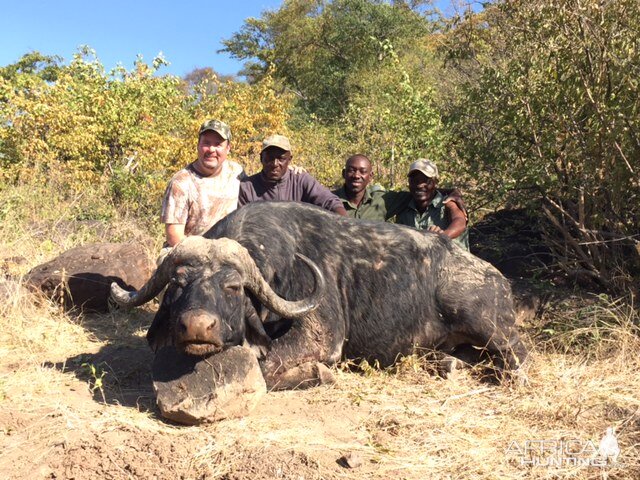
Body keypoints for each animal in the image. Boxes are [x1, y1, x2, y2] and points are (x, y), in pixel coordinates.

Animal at [112, 201, 528, 388]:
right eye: (179, 283)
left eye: (232, 287)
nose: (198, 326)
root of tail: (499, 279)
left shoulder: (322, 337)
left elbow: (266, 366)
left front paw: (318, 373)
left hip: (487, 325)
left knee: (518, 357)